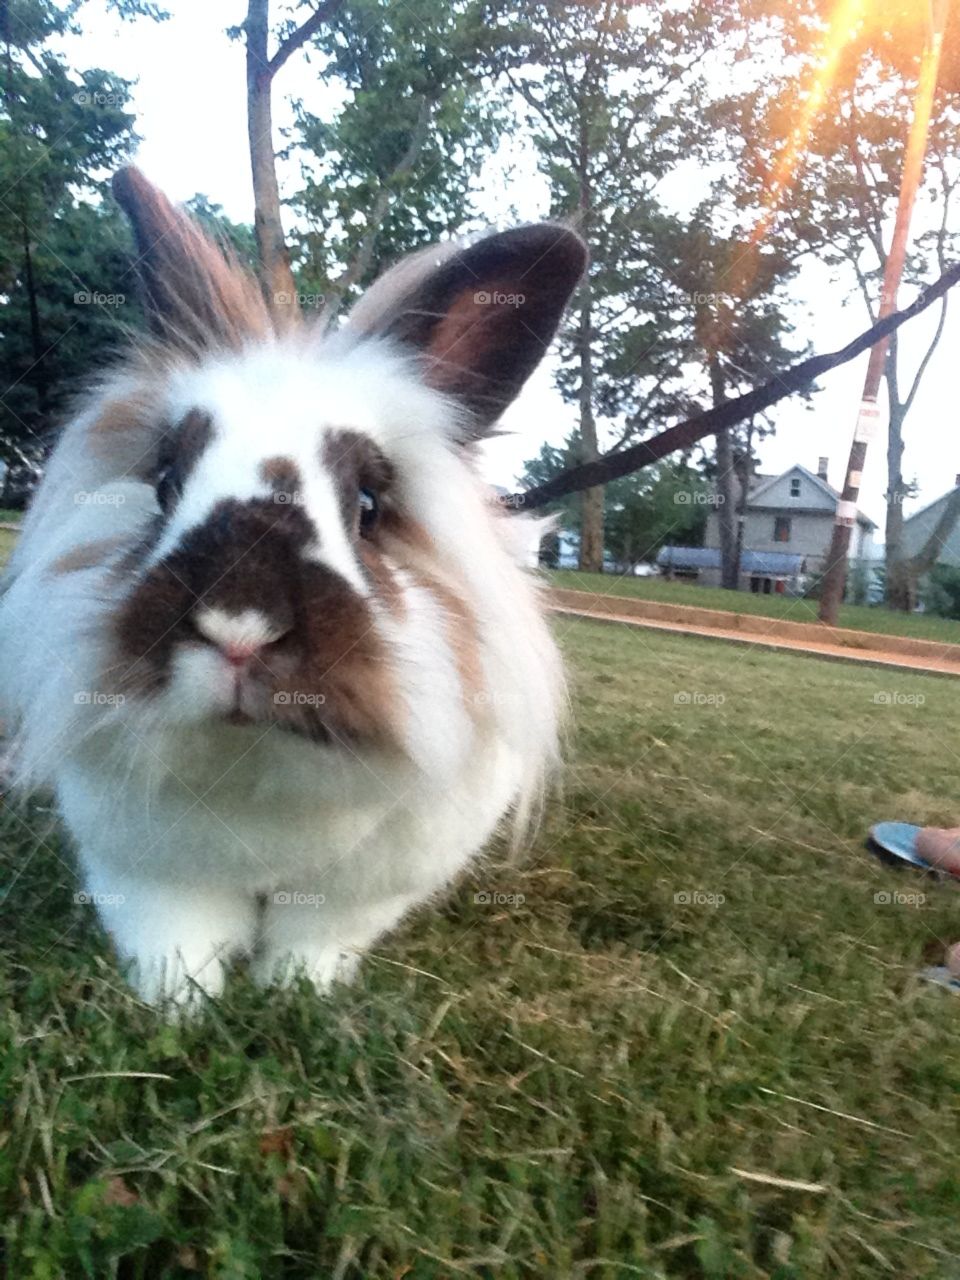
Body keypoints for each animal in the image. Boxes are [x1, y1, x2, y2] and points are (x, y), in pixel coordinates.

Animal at [0, 167, 586, 1010]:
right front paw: (181, 1007)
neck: (258, 769)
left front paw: (296, 996)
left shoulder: (360, 895)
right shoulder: (147, 872)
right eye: (166, 484)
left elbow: (314, 942)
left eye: (369, 506)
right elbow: (177, 937)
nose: (237, 630)